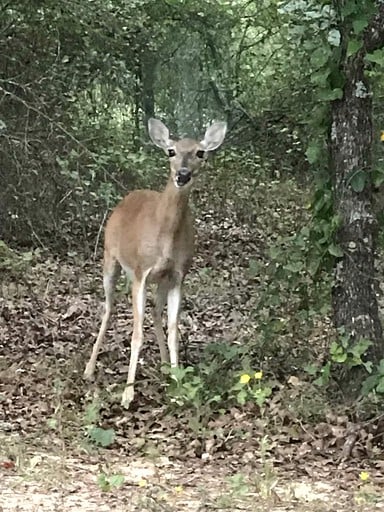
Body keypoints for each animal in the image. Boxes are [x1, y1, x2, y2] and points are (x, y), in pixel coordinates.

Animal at [84, 117, 226, 408]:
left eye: (200, 152)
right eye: (170, 151)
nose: (182, 174)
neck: (165, 237)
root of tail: (126, 198)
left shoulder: (177, 276)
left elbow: (173, 330)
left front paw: (178, 385)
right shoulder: (140, 272)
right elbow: (137, 334)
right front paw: (128, 393)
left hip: (158, 281)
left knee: (155, 312)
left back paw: (164, 368)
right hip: (110, 259)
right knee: (108, 308)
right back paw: (89, 369)